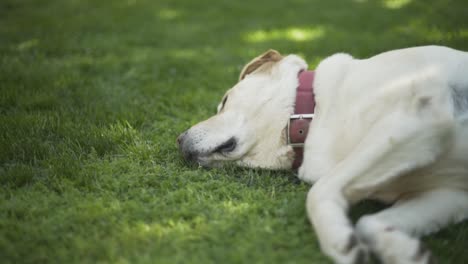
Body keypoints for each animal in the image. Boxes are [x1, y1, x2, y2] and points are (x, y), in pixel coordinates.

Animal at [176, 46, 468, 264]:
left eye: (225, 100)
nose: (178, 140)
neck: (312, 114)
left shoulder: (420, 115)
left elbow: (319, 191)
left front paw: (337, 239)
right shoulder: (450, 194)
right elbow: (368, 223)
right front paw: (405, 252)